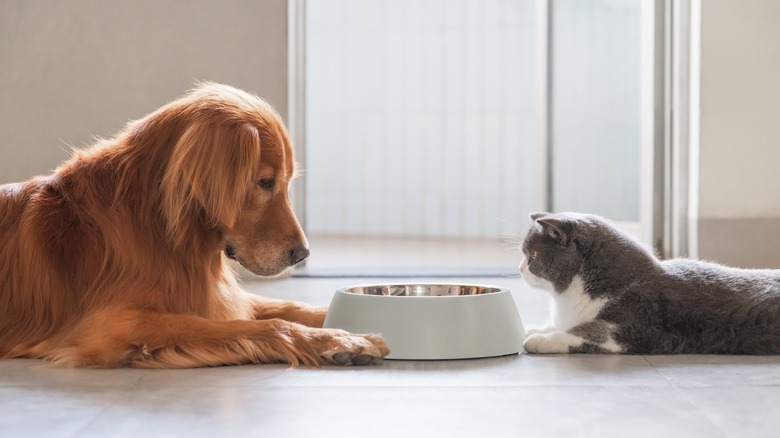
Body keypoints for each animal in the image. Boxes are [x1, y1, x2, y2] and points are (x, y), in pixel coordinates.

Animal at [0, 82, 388, 366]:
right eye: (265, 182)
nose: (302, 254)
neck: (158, 227)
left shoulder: (215, 295)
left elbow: (287, 308)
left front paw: (339, 321)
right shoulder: (115, 324)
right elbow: (264, 324)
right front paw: (340, 339)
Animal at [520, 211, 780, 352]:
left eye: (532, 254)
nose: (520, 268)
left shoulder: (635, 327)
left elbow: (584, 332)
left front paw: (538, 340)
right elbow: (562, 324)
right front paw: (532, 328)